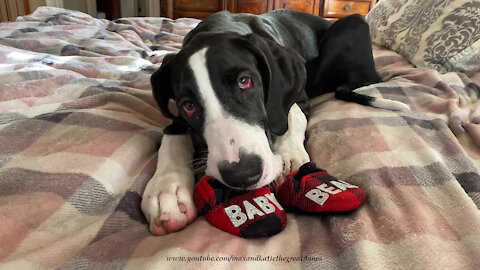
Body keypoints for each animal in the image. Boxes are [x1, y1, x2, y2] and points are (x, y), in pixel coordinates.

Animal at [142, 9, 408, 235]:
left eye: (245, 81)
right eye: (188, 105)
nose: (242, 175)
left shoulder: (299, 97)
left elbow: (290, 115)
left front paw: (290, 154)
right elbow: (172, 132)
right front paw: (167, 187)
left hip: (354, 23)